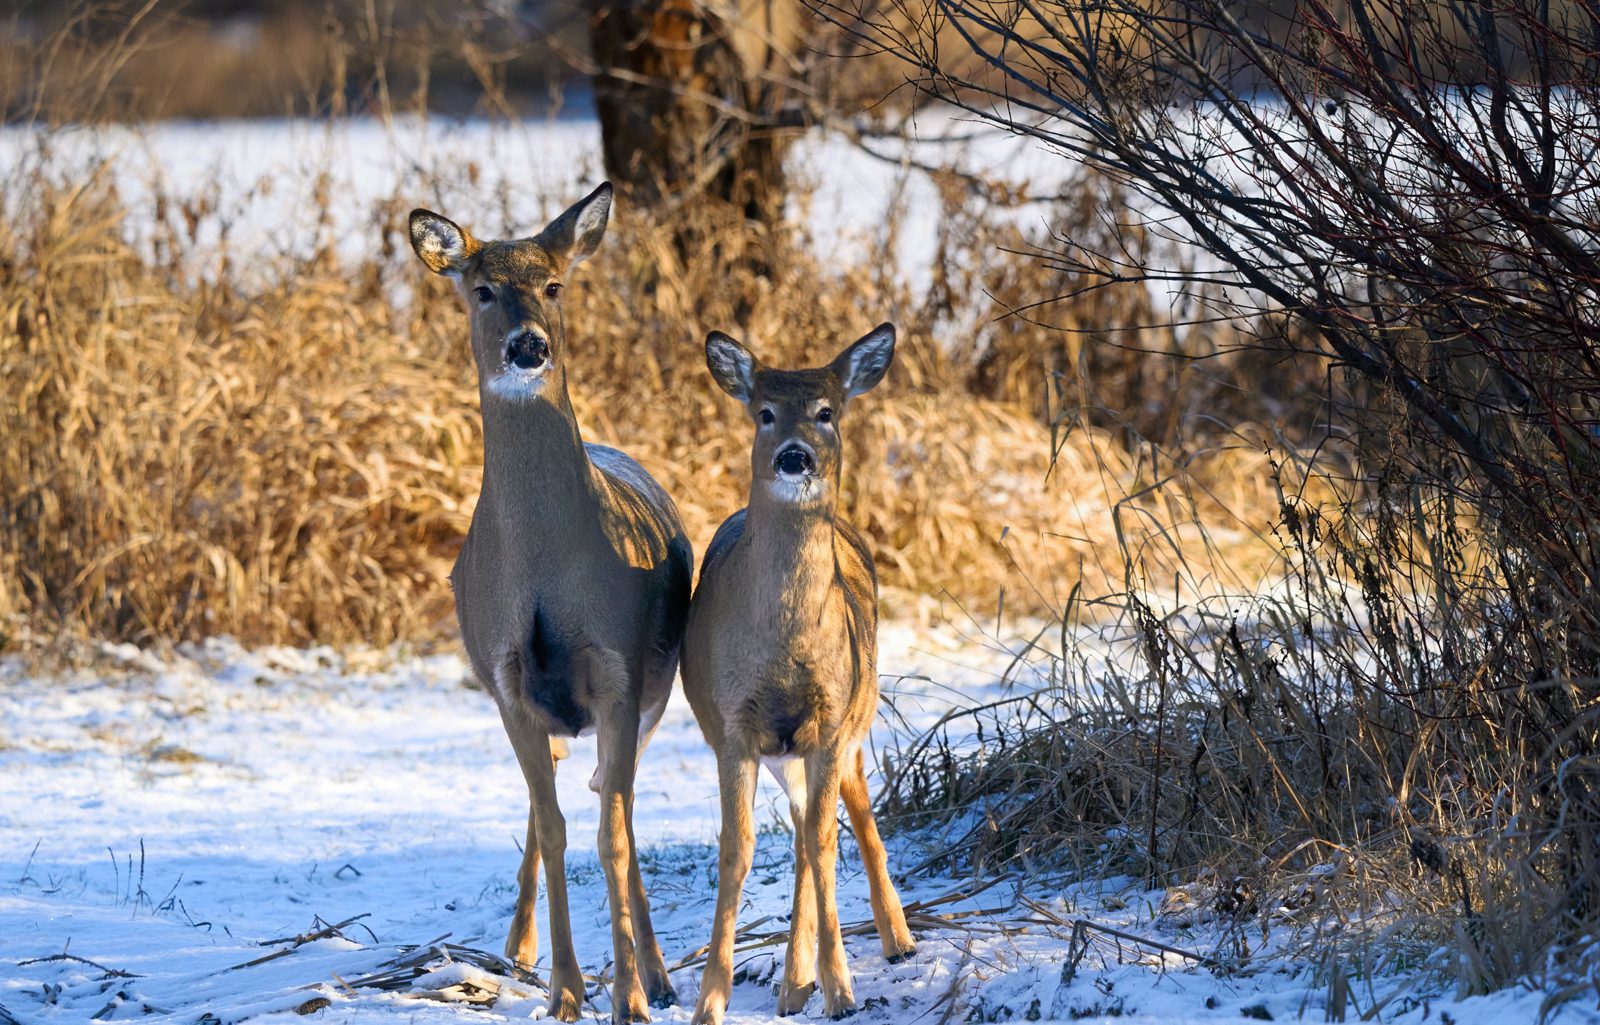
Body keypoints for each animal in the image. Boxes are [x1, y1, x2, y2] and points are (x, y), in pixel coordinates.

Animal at [408, 183, 691, 1024]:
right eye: (481, 289)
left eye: (556, 285)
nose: (529, 345)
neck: (538, 568)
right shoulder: (506, 680)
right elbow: (559, 826)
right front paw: (566, 988)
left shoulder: (620, 673)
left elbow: (611, 835)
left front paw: (629, 994)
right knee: (557, 808)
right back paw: (521, 946)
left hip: (653, 696)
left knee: (616, 806)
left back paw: (657, 975)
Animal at [682, 324, 917, 1025]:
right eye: (763, 412)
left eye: (826, 412)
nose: (794, 457)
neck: (783, 644)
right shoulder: (732, 727)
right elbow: (737, 850)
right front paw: (710, 1001)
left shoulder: (830, 720)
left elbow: (823, 843)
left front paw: (842, 991)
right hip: (790, 748)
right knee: (801, 836)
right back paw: (792, 983)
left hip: (855, 714)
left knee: (846, 819)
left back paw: (896, 941)